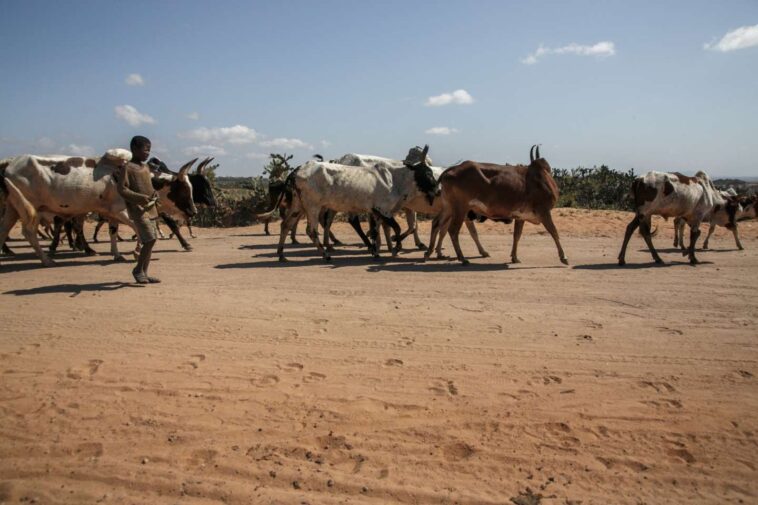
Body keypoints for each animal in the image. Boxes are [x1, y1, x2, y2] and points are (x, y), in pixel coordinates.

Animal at [424, 145, 568, 266]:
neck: (543, 179)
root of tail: (450, 170)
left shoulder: (520, 217)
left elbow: (517, 235)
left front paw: (514, 257)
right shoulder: (544, 211)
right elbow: (554, 232)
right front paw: (563, 257)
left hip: (449, 208)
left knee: (437, 223)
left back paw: (429, 252)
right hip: (460, 209)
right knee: (453, 230)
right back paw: (462, 258)